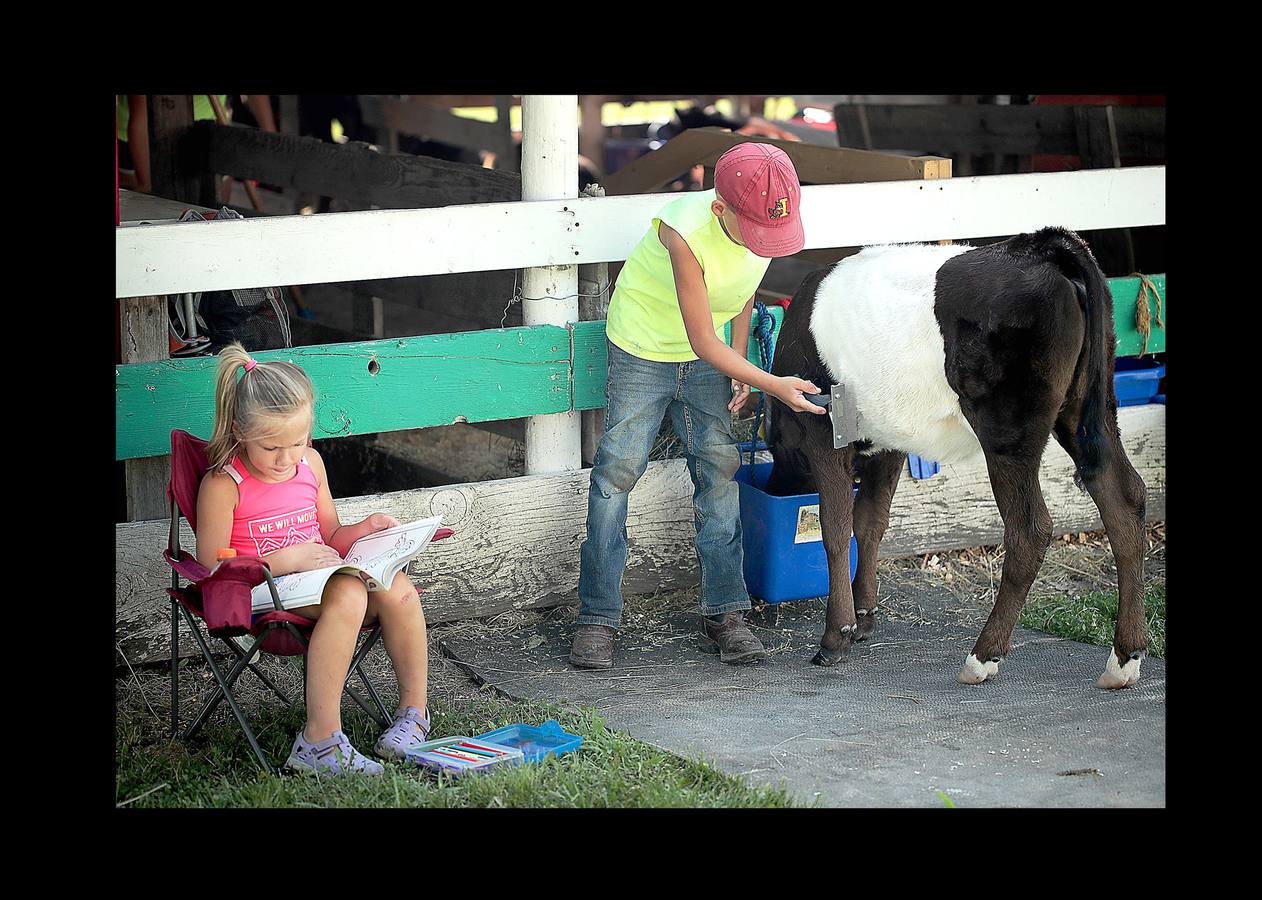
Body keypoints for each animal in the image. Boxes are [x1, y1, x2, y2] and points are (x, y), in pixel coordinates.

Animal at [762, 225, 1150, 686]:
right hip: (1088, 412)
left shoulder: (825, 433)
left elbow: (836, 530)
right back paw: (1124, 660)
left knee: (1031, 529)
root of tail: (1044, 246)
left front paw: (835, 636)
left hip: (1009, 431)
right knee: (1124, 498)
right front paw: (863, 615)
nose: (774, 484)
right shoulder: (889, 440)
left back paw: (982, 657)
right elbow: (870, 522)